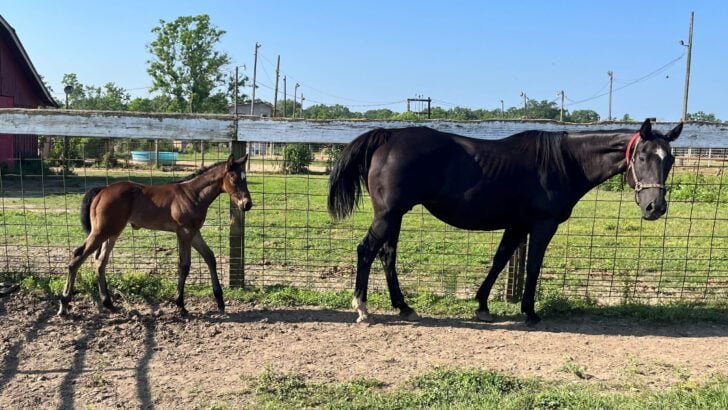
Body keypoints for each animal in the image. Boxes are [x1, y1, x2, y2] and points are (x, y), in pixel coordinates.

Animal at [58, 154, 253, 316]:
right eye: (234, 178)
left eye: (245, 178)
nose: (247, 204)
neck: (193, 195)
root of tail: (101, 190)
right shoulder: (184, 232)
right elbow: (184, 265)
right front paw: (180, 304)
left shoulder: (194, 232)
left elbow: (210, 257)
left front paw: (220, 301)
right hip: (101, 232)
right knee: (77, 257)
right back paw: (64, 304)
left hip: (112, 233)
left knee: (100, 262)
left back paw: (108, 303)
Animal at [328, 118, 682, 326]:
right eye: (641, 157)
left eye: (670, 160)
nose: (655, 207)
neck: (564, 162)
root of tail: (388, 136)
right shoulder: (542, 225)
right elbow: (532, 266)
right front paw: (529, 311)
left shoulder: (517, 225)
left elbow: (500, 261)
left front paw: (483, 305)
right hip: (389, 214)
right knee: (366, 251)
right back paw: (362, 309)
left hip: (395, 215)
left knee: (387, 255)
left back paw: (403, 307)